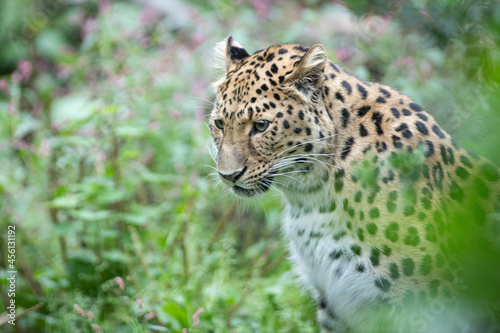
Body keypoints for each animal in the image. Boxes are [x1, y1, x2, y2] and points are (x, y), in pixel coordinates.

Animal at [207, 35, 500, 330]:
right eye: (219, 124)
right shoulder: (333, 299)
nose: (228, 175)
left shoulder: (428, 307)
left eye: (261, 126)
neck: (311, 197)